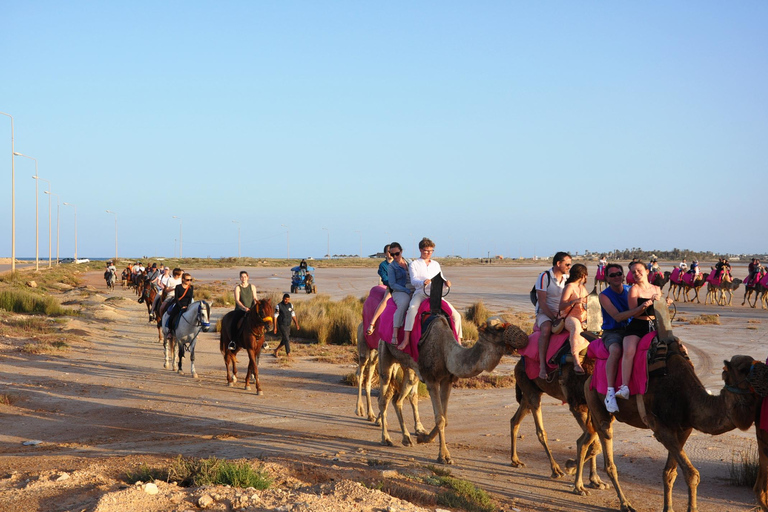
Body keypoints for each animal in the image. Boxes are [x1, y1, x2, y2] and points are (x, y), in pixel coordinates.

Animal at [580, 344, 764, 512]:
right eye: (744, 369)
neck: (688, 399)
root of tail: (590, 378)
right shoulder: (661, 429)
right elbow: (692, 474)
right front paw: (691, 508)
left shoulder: (684, 429)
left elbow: (669, 473)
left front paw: (668, 508)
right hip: (595, 400)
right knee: (607, 446)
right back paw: (624, 504)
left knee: (587, 439)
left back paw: (578, 480)